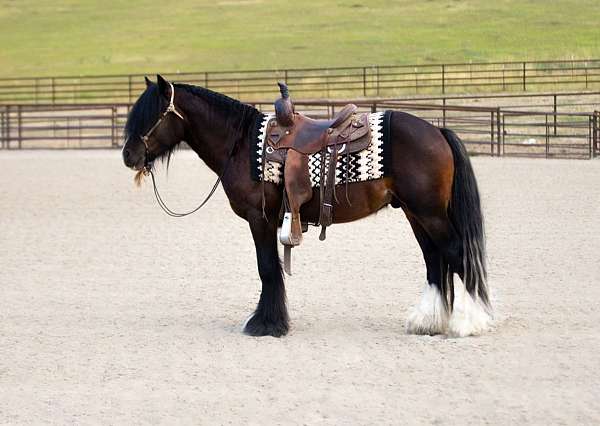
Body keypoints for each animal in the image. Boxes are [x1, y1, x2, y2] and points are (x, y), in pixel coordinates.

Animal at [122, 75, 492, 338]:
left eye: (153, 115)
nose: (128, 156)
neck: (241, 144)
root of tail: (438, 131)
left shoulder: (260, 219)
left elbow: (267, 268)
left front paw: (266, 324)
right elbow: (271, 268)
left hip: (430, 214)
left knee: (457, 253)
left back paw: (471, 322)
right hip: (417, 214)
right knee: (435, 260)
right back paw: (429, 322)